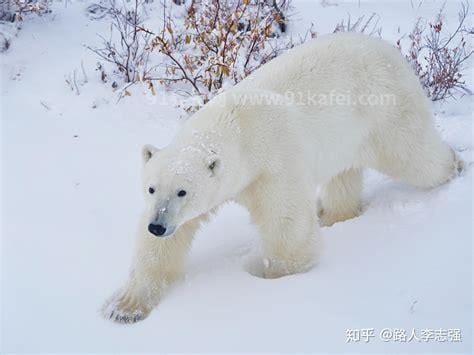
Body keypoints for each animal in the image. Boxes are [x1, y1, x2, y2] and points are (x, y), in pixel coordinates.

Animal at [103, 32, 460, 324]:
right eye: (151, 188)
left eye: (182, 192)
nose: (158, 225)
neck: (238, 127)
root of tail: (390, 49)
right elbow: (167, 244)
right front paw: (123, 306)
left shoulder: (273, 164)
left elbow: (288, 226)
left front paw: (266, 271)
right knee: (344, 175)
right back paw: (334, 215)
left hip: (386, 109)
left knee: (413, 156)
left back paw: (455, 166)